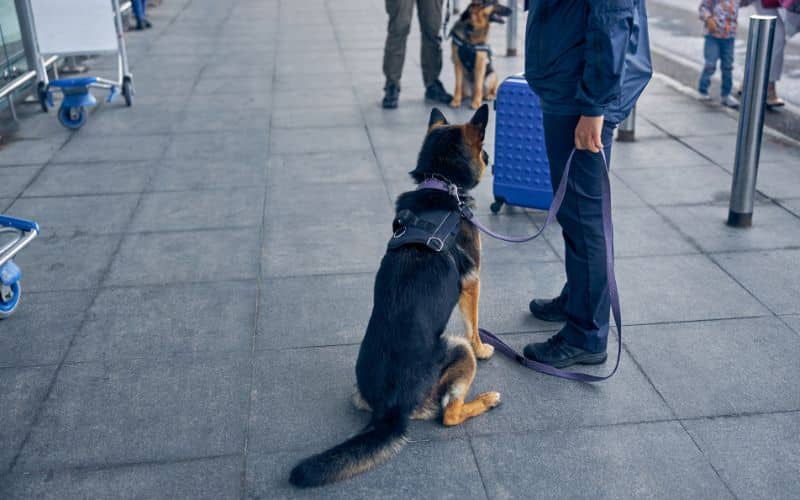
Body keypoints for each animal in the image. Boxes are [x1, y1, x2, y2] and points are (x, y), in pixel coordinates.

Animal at [288, 103, 500, 486]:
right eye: (484, 150)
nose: (490, 159)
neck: (440, 182)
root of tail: (390, 409)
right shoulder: (472, 281)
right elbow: (474, 324)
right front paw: (485, 347)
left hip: (361, 392)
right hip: (455, 349)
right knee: (450, 415)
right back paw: (487, 400)